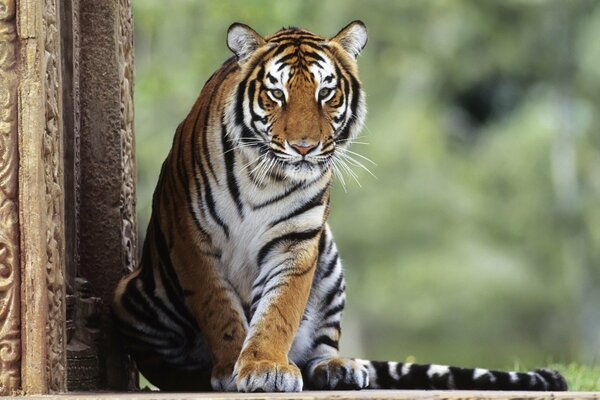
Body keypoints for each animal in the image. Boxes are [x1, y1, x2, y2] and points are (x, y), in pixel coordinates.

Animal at [111, 20, 568, 392]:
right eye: (276, 94)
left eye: (326, 92)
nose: (304, 147)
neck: (264, 176)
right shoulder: (193, 240)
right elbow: (219, 310)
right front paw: (232, 367)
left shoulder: (297, 242)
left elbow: (279, 310)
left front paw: (264, 366)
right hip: (131, 296)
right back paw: (196, 375)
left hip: (328, 258)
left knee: (320, 346)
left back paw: (338, 369)